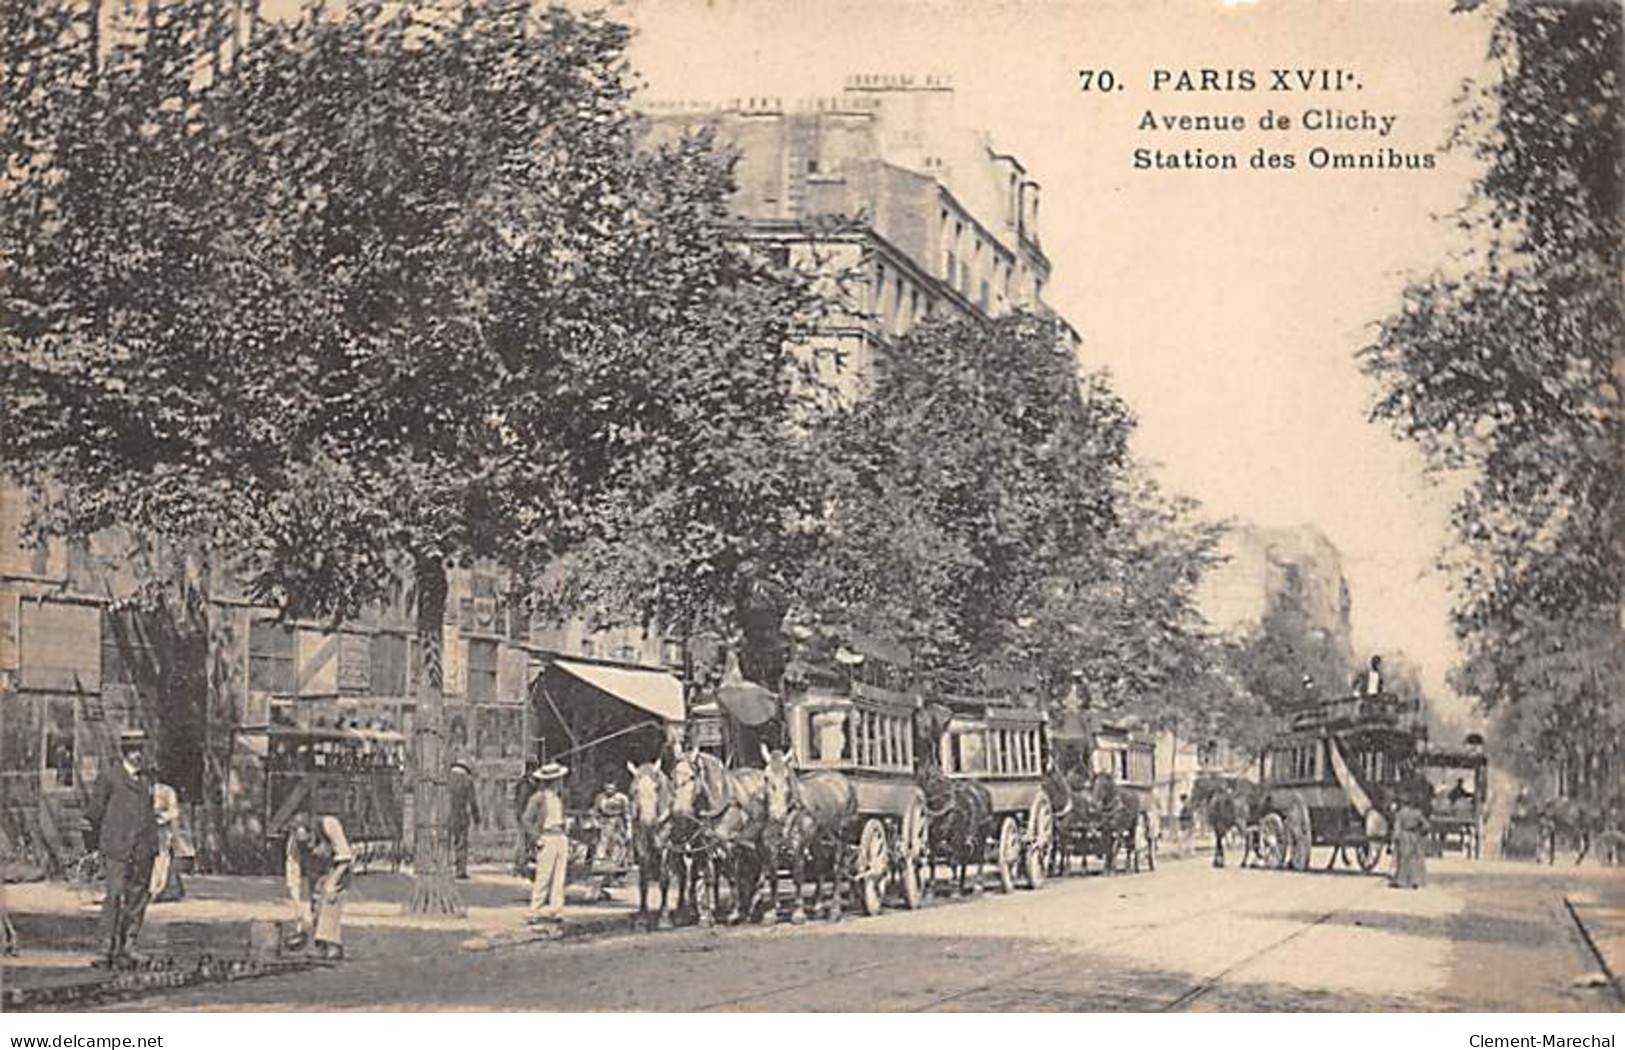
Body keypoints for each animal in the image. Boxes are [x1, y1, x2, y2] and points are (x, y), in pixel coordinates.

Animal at [763, 744, 864, 923]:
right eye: (766, 777)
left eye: (787, 778)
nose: (777, 815)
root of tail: (843, 780)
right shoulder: (771, 845)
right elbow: (773, 874)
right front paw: (771, 912)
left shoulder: (799, 843)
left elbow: (797, 873)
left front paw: (798, 913)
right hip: (819, 837)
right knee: (821, 864)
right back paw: (818, 906)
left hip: (842, 834)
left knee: (838, 868)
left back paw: (835, 910)